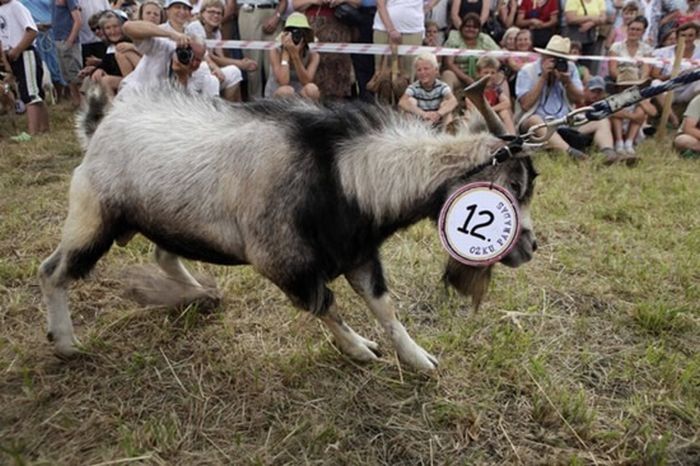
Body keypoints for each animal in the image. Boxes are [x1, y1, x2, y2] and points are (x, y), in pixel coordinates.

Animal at [38, 81, 540, 372]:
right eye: (514, 185)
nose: (531, 246)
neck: (342, 171)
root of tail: (99, 126)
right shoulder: (284, 262)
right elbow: (326, 306)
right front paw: (360, 350)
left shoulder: (357, 252)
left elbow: (384, 307)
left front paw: (418, 359)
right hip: (93, 217)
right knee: (52, 271)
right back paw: (66, 344)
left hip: (170, 220)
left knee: (162, 252)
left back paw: (200, 294)